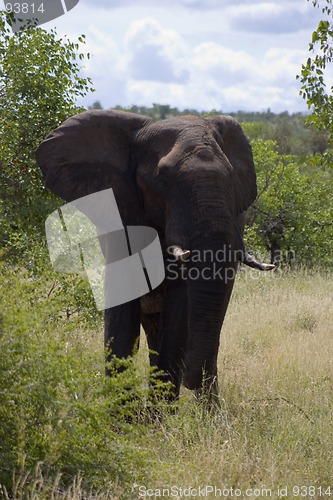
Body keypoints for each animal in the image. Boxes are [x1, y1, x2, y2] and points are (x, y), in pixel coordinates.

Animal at [35, 110, 274, 402]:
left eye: (230, 178)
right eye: (162, 180)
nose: (191, 381)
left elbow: (178, 315)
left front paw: (160, 412)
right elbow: (122, 311)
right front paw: (121, 413)